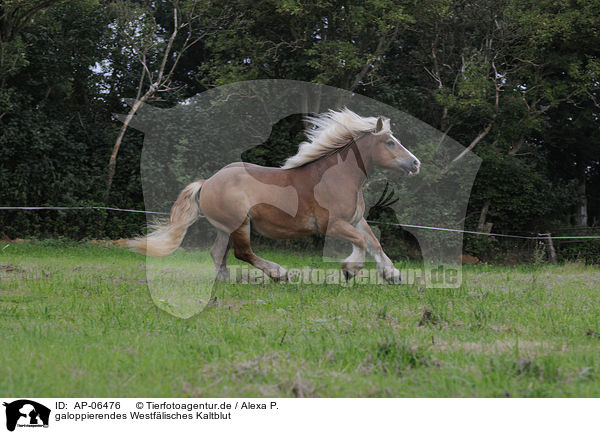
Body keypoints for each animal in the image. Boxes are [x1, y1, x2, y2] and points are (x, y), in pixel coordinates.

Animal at [127, 108, 418, 284]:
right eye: (390, 142)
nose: (416, 163)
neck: (337, 177)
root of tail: (207, 182)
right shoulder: (332, 225)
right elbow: (360, 242)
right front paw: (349, 269)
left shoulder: (355, 220)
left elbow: (373, 243)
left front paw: (392, 274)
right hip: (240, 224)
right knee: (243, 253)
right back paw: (279, 273)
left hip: (226, 227)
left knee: (217, 252)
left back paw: (225, 280)